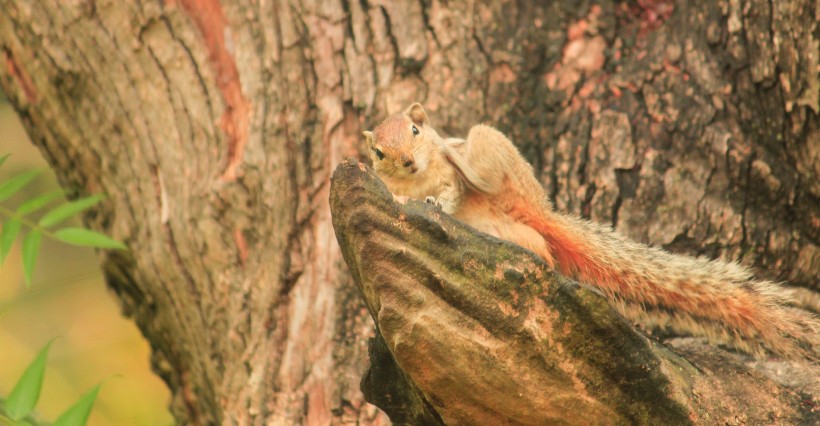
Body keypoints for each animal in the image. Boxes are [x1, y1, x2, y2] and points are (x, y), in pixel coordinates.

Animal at [366, 102, 820, 360]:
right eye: (378, 152)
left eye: (415, 131)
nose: (408, 162)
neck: (418, 179)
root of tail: (536, 212)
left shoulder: (447, 181)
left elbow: (450, 193)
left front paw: (436, 200)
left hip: (498, 157)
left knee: (487, 177)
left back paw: (464, 158)